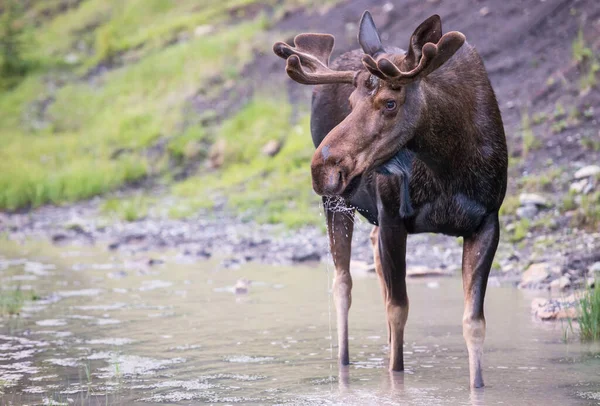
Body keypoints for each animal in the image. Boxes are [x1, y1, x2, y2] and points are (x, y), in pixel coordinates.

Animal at [274, 11, 506, 388]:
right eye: (350, 103)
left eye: (390, 103)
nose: (321, 169)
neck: (448, 166)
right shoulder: (394, 219)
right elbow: (398, 310)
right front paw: (395, 379)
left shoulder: (487, 221)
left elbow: (474, 322)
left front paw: (478, 386)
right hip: (340, 204)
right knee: (343, 284)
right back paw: (344, 364)